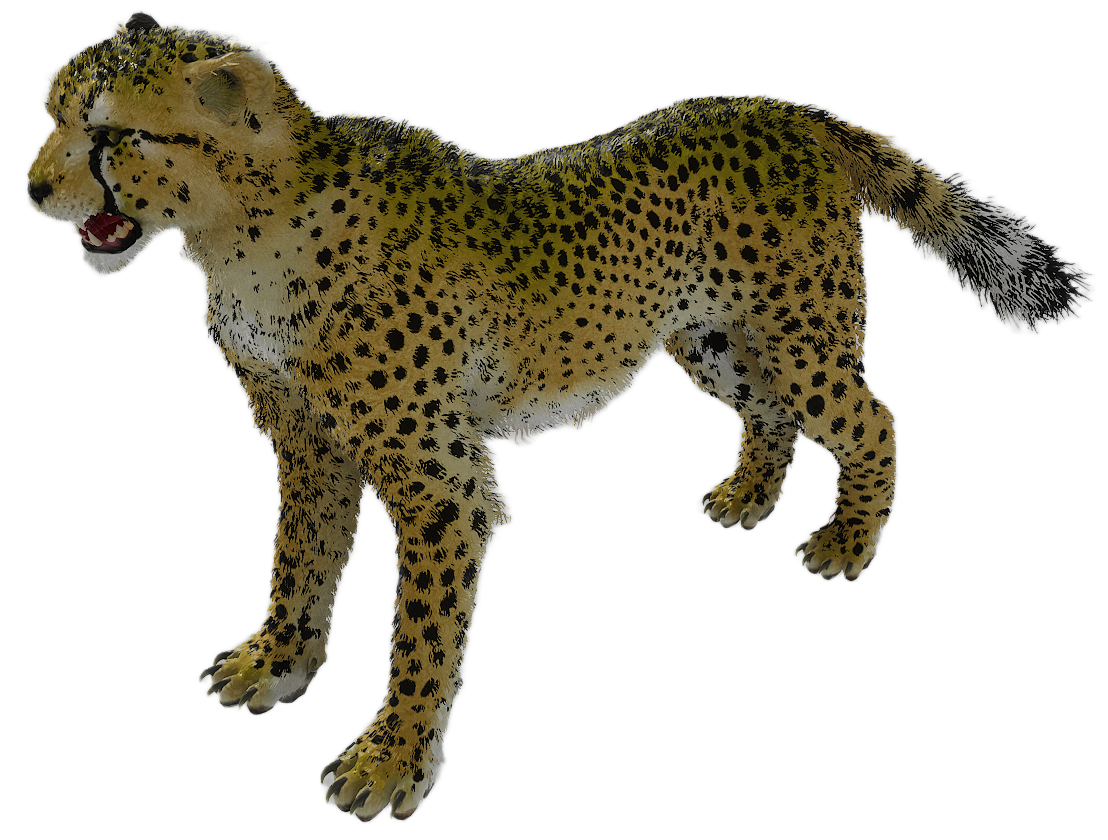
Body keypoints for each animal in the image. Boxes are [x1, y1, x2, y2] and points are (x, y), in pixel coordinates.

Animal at [25, 10, 1095, 824]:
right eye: (53, 115)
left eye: (114, 136)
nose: (34, 189)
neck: (244, 226)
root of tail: (786, 107)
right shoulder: (309, 443)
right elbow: (301, 556)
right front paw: (277, 661)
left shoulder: (443, 483)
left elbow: (419, 632)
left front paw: (389, 760)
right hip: (711, 339)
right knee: (775, 415)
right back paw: (749, 496)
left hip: (794, 334)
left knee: (875, 417)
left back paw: (848, 541)